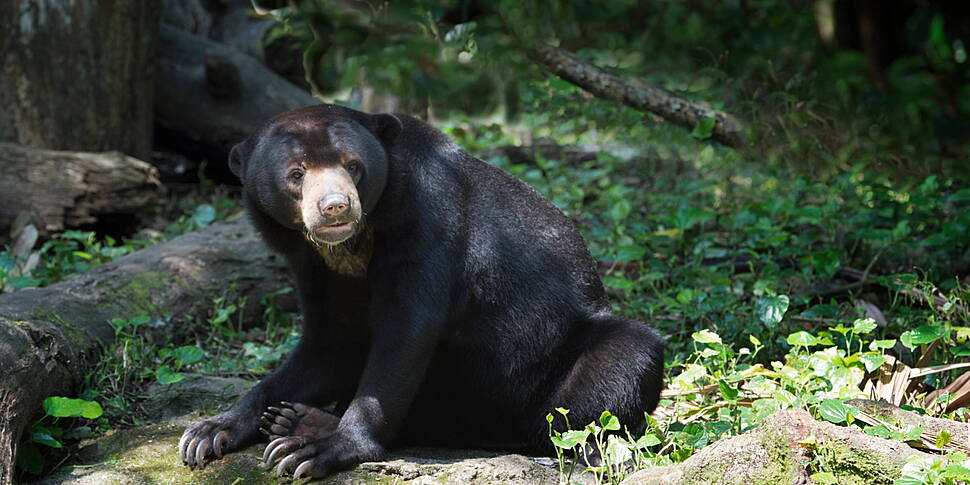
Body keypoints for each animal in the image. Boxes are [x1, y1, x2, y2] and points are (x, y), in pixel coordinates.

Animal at [178, 104, 665, 479]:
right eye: (296, 174)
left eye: (353, 165)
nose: (335, 207)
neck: (353, 245)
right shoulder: (312, 265)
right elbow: (327, 342)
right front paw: (208, 432)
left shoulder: (428, 223)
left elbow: (406, 334)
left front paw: (319, 450)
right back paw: (294, 417)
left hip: (554, 366)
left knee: (623, 360)